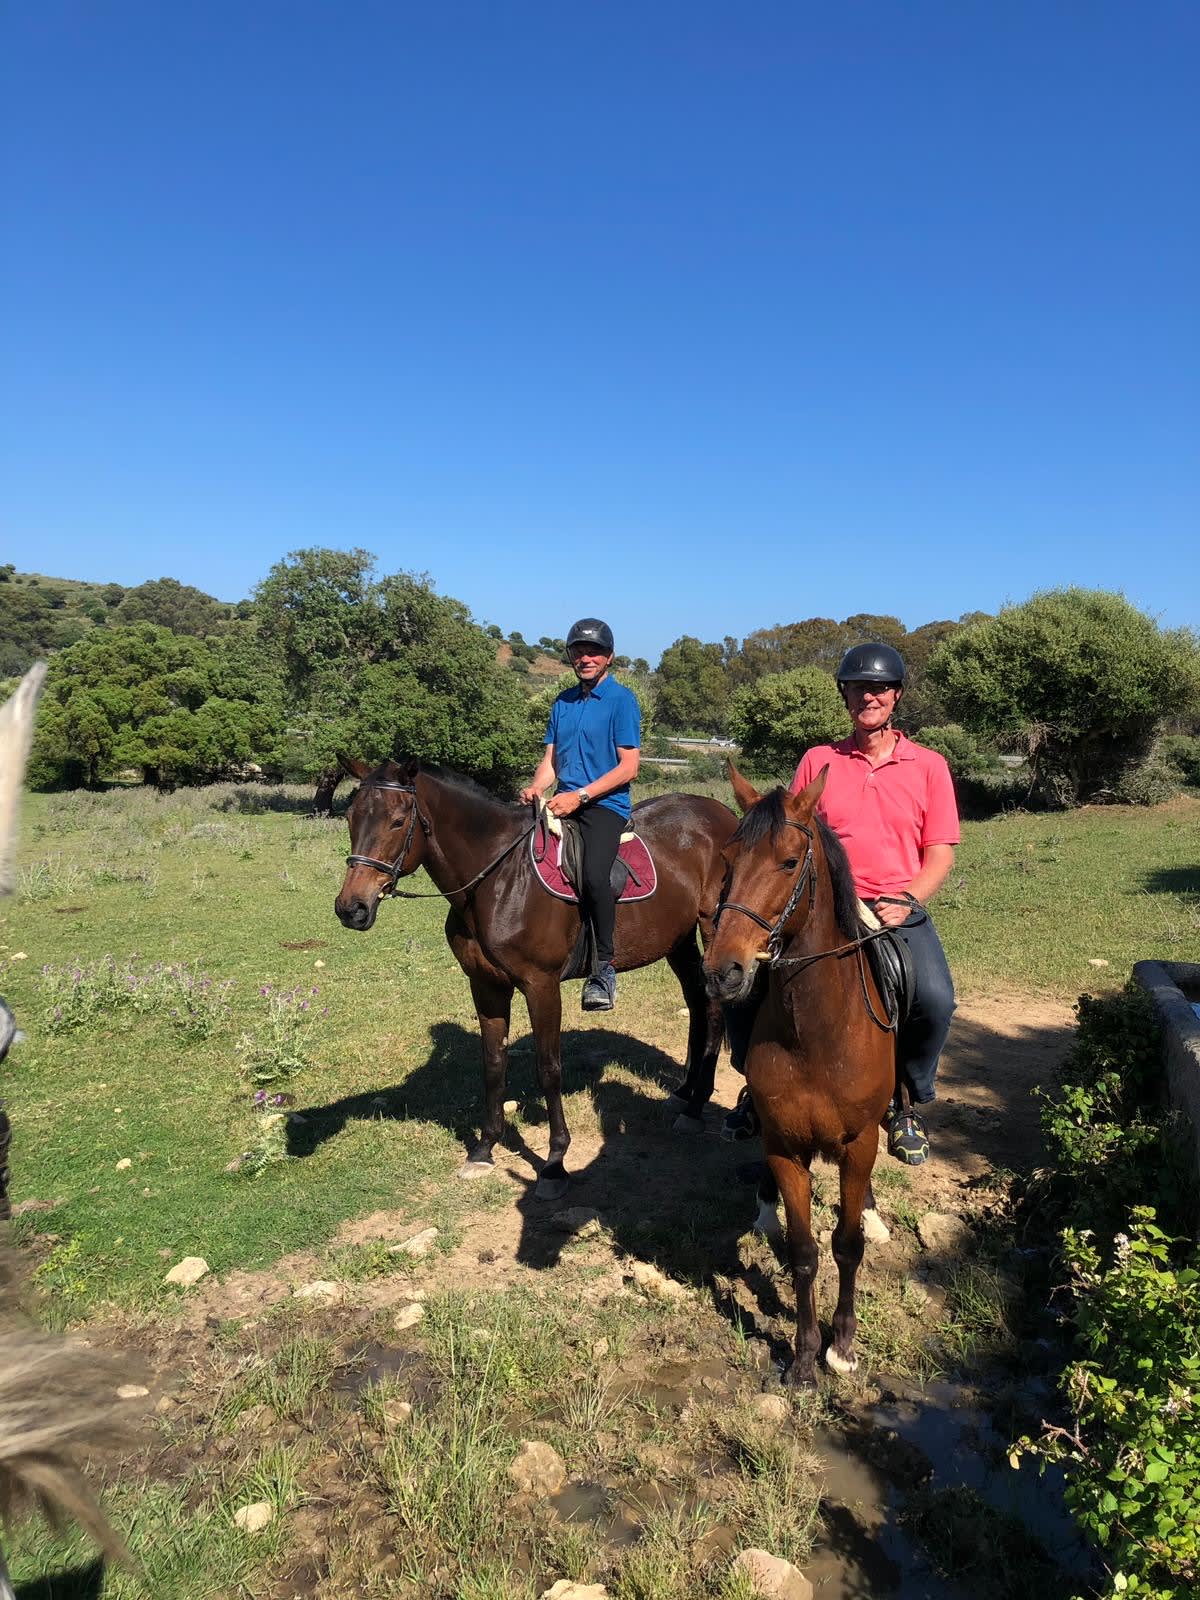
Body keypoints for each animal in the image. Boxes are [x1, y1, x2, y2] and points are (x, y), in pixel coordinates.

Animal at [334, 756, 737, 1199]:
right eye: (351, 817)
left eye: (396, 821)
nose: (351, 908)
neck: (499, 880)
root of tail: (725, 816)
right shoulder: (486, 986)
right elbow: (494, 1063)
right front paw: (485, 1148)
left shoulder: (541, 986)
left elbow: (549, 1068)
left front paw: (555, 1162)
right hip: (676, 939)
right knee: (698, 1002)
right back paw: (683, 1094)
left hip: (716, 931)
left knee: (715, 1008)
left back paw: (697, 1105)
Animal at [703, 763, 895, 1385]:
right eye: (728, 861)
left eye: (789, 862)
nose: (722, 972)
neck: (816, 1033)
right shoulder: (786, 1146)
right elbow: (804, 1252)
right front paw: (806, 1356)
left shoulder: (859, 1145)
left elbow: (847, 1244)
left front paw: (843, 1345)